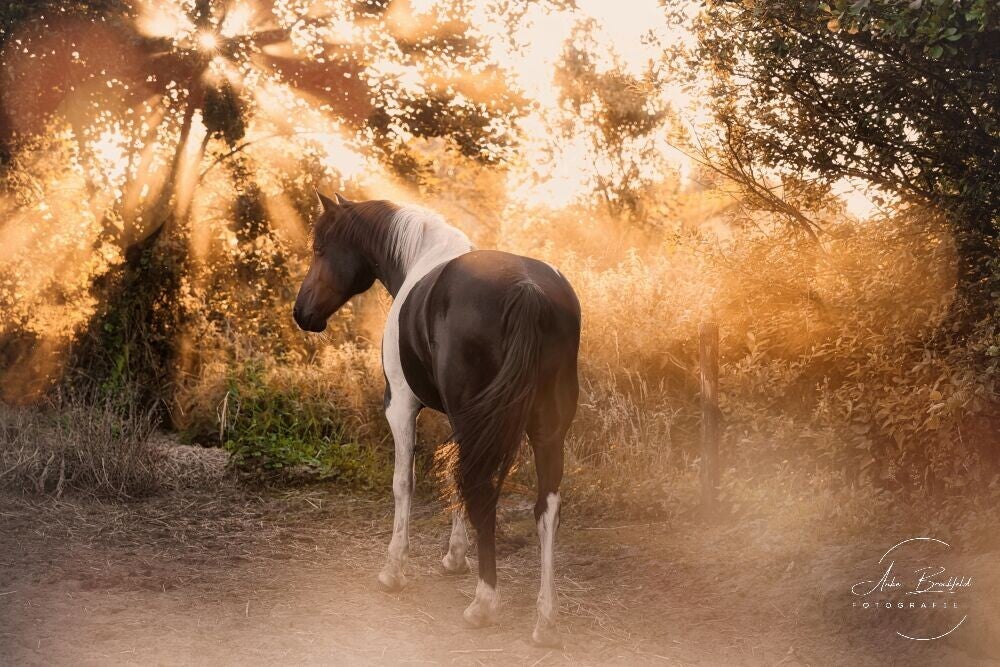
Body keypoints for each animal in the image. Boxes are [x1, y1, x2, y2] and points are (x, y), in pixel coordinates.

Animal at [293, 192, 580, 646]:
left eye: (320, 248)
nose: (301, 312)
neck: (421, 258)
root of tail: (527, 289)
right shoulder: (464, 421)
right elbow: (453, 477)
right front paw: (454, 557)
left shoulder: (400, 405)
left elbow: (404, 482)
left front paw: (394, 569)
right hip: (547, 431)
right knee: (544, 508)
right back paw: (546, 620)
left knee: (483, 492)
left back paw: (484, 603)